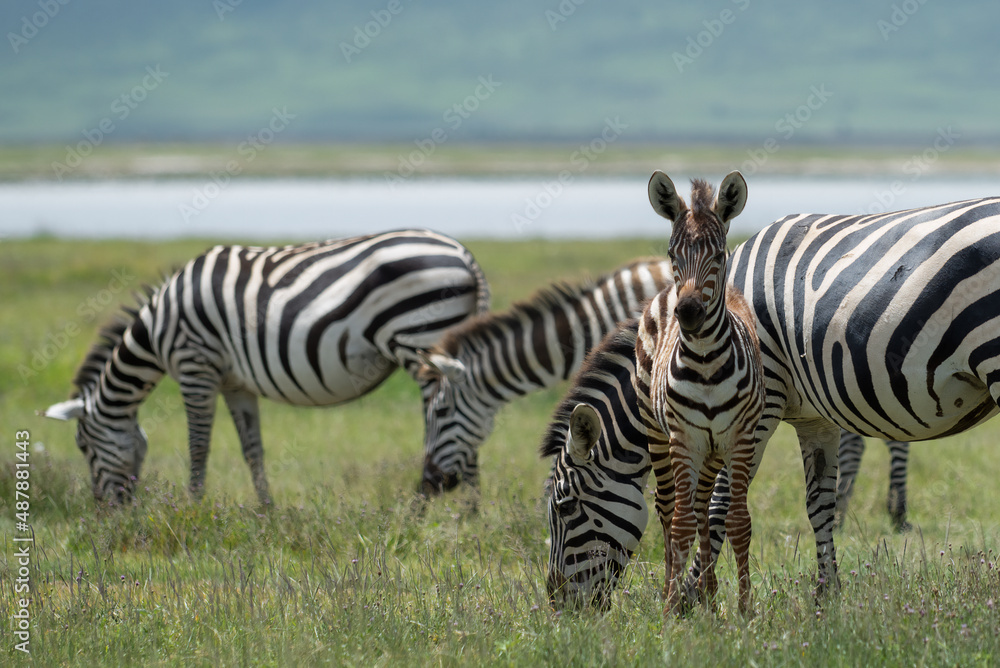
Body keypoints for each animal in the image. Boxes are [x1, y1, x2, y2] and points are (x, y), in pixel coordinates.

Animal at [44, 227, 492, 504]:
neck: (157, 330)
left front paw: (191, 509)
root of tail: (464, 254)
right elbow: (252, 450)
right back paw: (470, 515)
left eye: (83, 447)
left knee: (454, 419)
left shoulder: (195, 366)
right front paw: (266, 512)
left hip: (423, 340)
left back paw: (438, 509)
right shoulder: (235, 383)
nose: (106, 511)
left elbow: (198, 445)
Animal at [632, 172, 764, 616]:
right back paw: (674, 590)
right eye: (672, 253)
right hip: (659, 435)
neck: (705, 362)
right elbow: (681, 524)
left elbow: (737, 523)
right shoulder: (683, 438)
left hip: (712, 450)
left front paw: (744, 609)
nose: (688, 313)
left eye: (720, 255)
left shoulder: (739, 438)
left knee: (704, 505)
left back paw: (707, 594)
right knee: (670, 507)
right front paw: (672, 606)